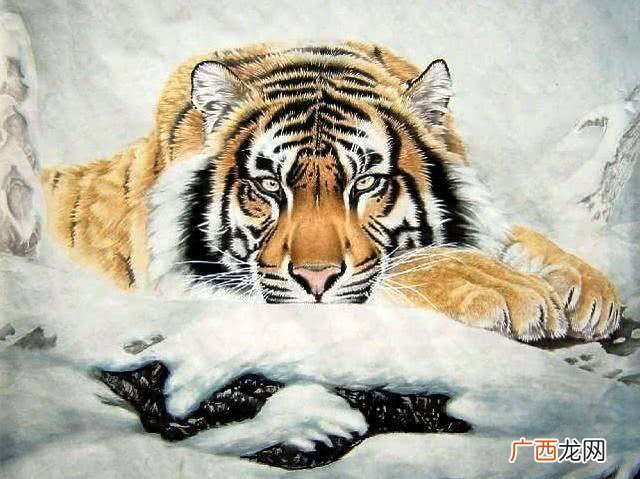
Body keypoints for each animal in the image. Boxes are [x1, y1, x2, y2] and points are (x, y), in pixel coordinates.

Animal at [41, 41, 622, 342]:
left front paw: (588, 290)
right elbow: (409, 268)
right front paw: (507, 290)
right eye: (269, 185)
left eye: (365, 183)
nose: (315, 280)